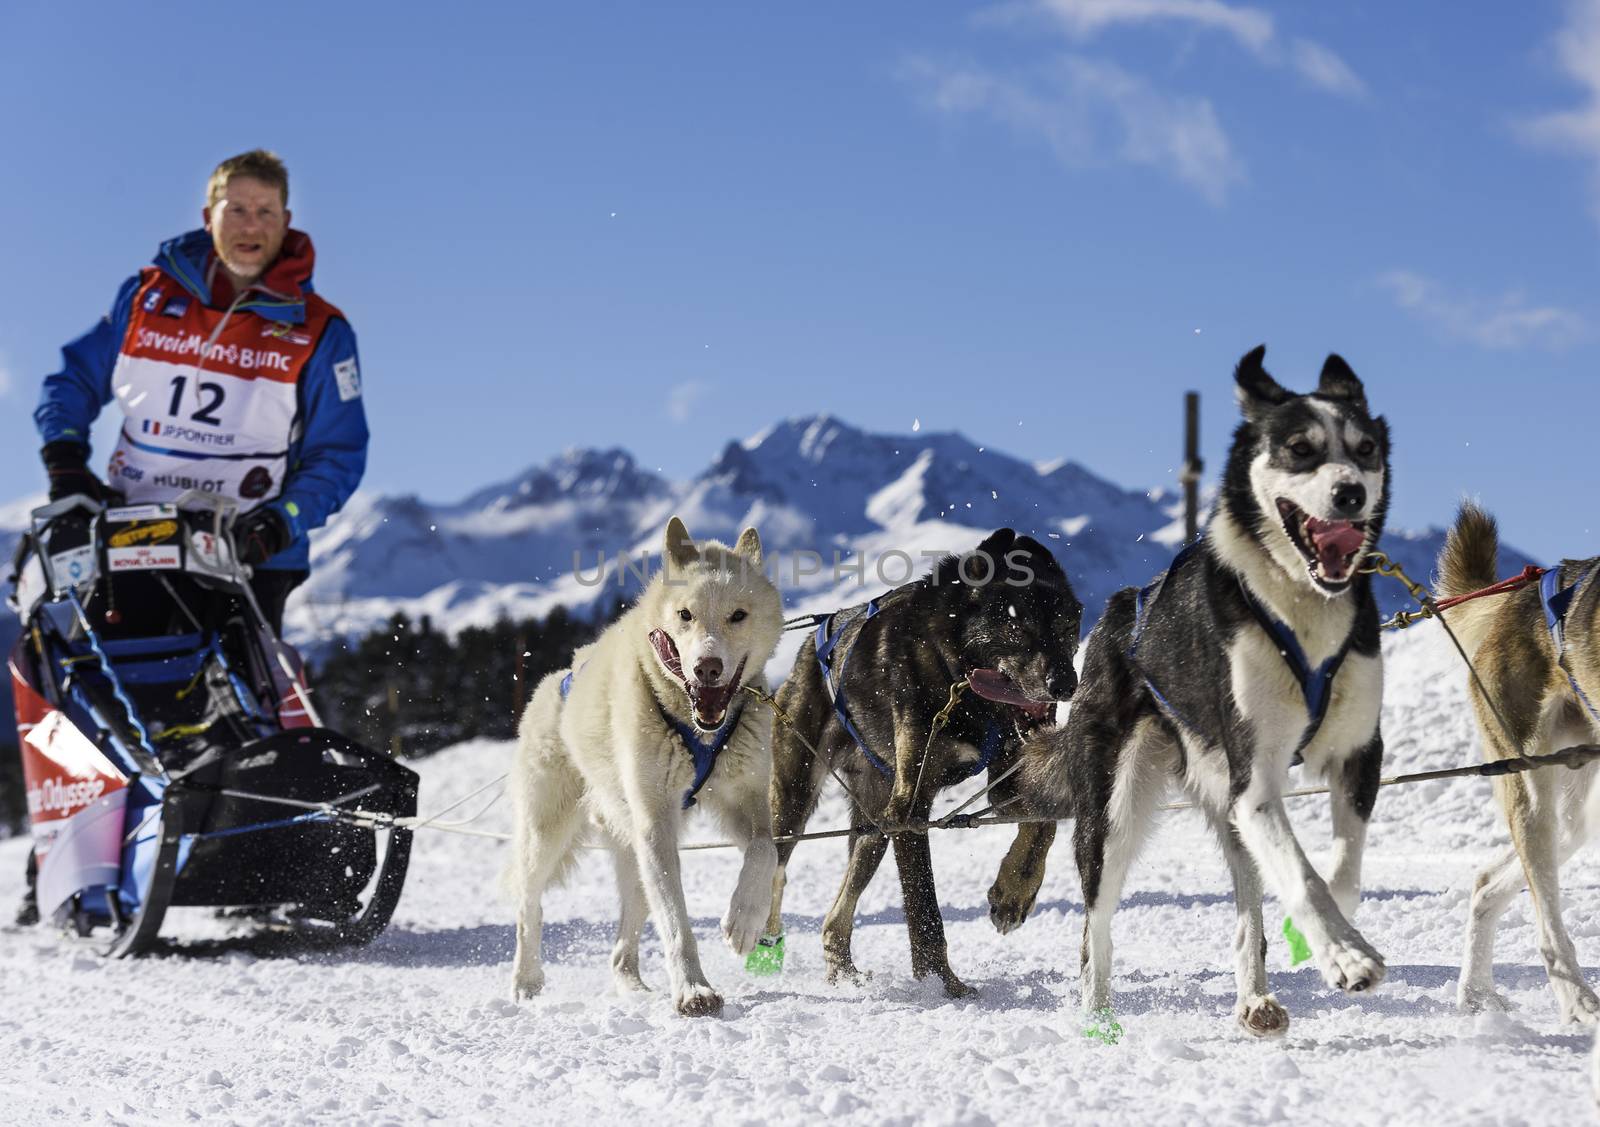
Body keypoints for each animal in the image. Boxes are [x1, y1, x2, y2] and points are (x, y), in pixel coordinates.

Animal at [508, 515, 784, 1018]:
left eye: (738, 615)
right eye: (685, 615)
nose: (707, 667)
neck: (698, 729)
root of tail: (557, 681)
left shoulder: (744, 801)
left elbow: (766, 851)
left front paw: (745, 920)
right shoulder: (656, 822)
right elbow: (676, 921)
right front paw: (694, 989)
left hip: (634, 849)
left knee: (623, 944)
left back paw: (632, 985)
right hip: (548, 835)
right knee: (528, 906)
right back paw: (526, 979)